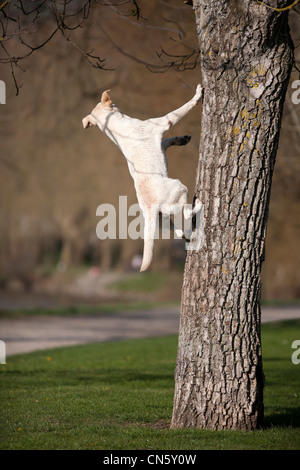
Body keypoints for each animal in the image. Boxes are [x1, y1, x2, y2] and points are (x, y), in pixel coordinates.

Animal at [82, 84, 202, 272]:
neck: (115, 128)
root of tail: (151, 206)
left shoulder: (161, 142)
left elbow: (168, 141)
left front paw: (181, 139)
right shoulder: (163, 122)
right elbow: (182, 109)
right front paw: (197, 95)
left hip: (161, 221)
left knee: (178, 231)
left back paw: (187, 236)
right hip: (180, 188)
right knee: (188, 213)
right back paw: (198, 206)